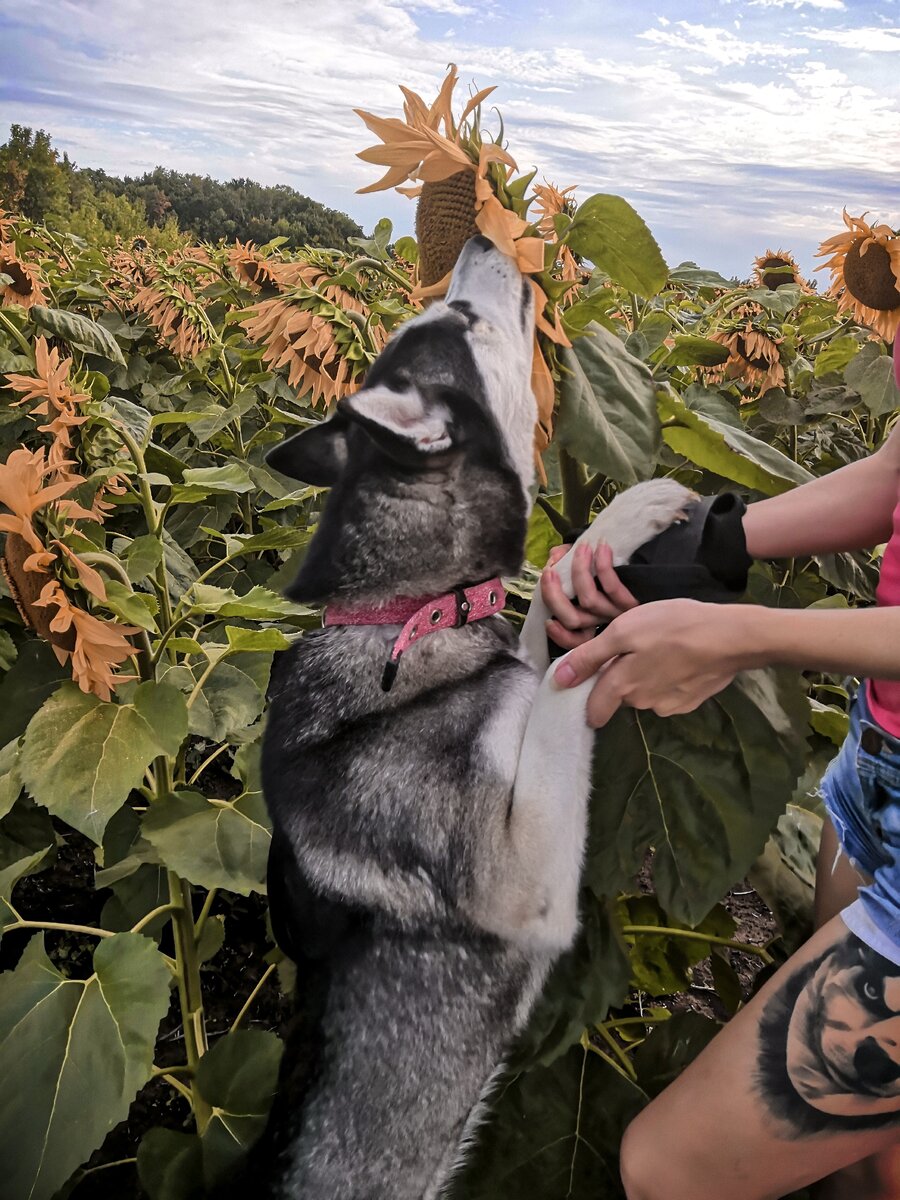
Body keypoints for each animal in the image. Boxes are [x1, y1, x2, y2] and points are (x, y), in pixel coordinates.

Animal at [260, 236, 696, 1200]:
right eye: (462, 319)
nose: (483, 240)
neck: (408, 617)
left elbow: (545, 625)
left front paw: (602, 542)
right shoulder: (522, 877)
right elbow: (564, 680)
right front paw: (626, 522)